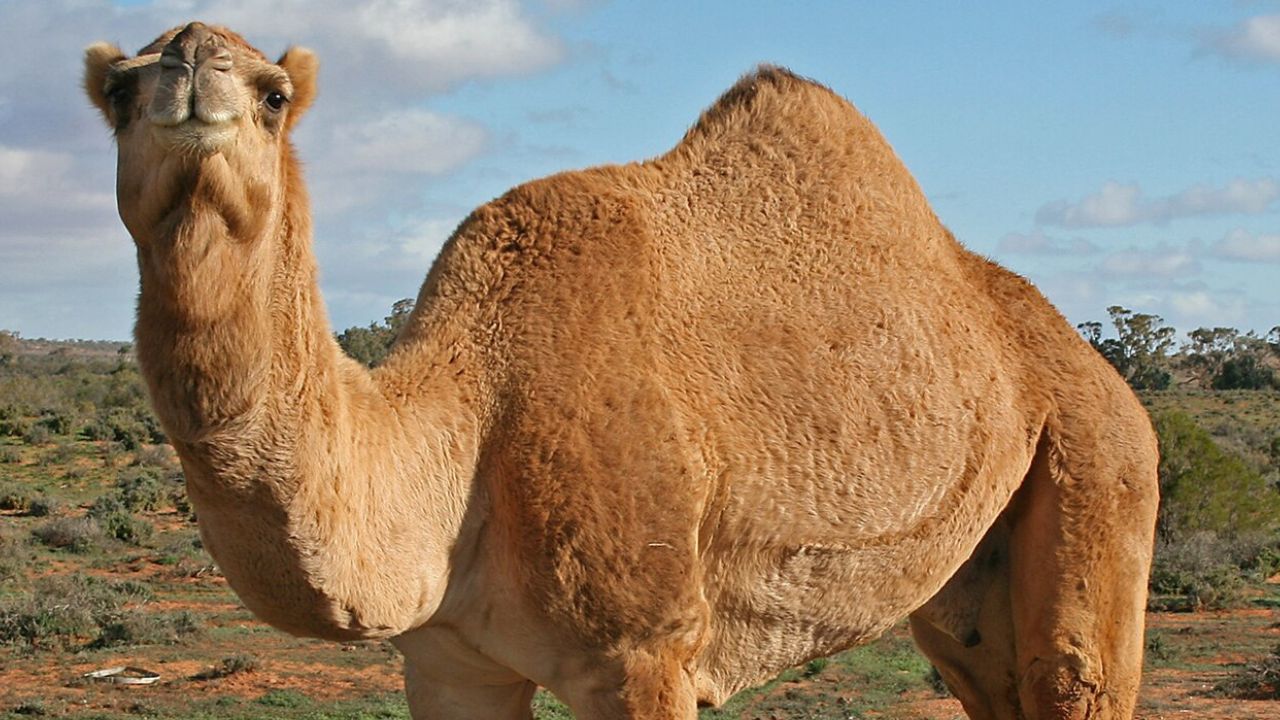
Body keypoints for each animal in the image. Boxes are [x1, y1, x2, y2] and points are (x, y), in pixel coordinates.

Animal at [83, 22, 1158, 719]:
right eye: (117, 91)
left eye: (274, 94)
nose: (190, 64)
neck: (466, 427)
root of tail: (1104, 377)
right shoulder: (446, 659)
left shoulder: (641, 650)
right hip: (970, 569)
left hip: (1098, 462)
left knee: (1073, 675)